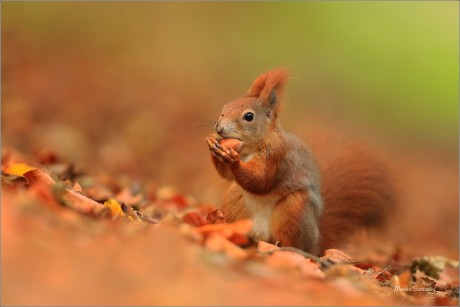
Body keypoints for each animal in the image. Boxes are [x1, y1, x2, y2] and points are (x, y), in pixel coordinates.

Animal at [206, 68, 396, 256]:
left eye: (249, 116)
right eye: (225, 107)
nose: (219, 128)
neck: (251, 148)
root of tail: (316, 244)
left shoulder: (278, 156)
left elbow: (261, 180)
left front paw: (234, 160)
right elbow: (228, 176)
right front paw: (211, 142)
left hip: (295, 210)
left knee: (296, 244)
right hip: (235, 200)